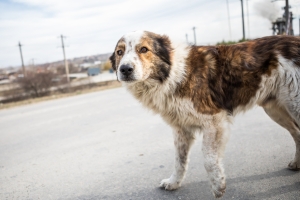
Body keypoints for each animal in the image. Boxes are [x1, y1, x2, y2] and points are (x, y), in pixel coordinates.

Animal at [109, 30, 300, 198]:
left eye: (143, 49)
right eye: (119, 52)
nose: (125, 69)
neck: (173, 74)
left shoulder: (214, 121)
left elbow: (208, 159)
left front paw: (218, 186)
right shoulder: (181, 129)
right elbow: (179, 161)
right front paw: (174, 182)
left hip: (293, 105)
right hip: (275, 110)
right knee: (297, 133)